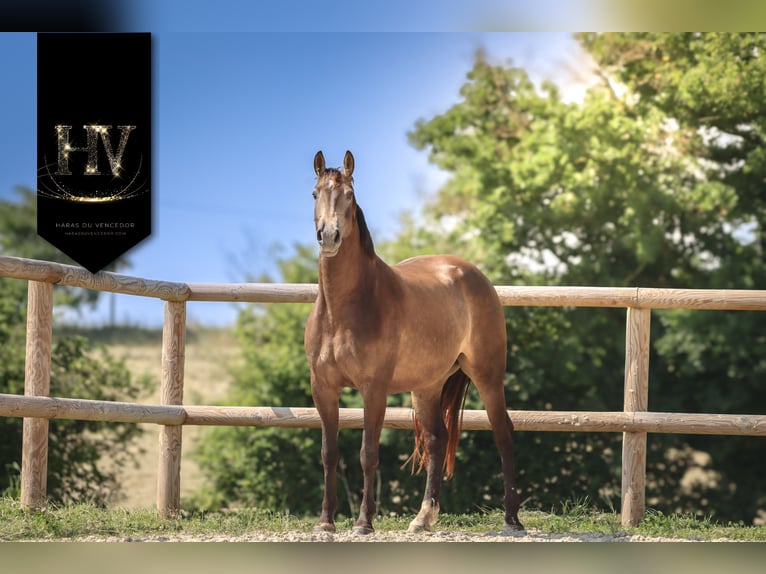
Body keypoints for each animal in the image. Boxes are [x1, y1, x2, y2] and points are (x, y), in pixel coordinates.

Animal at [304, 150, 524, 535]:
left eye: (349, 195)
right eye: (315, 194)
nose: (328, 236)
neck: (344, 309)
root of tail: (474, 275)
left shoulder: (373, 388)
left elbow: (368, 454)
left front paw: (364, 523)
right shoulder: (323, 388)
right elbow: (329, 454)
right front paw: (325, 522)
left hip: (488, 375)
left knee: (503, 433)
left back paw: (512, 519)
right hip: (427, 386)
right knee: (437, 440)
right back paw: (423, 518)